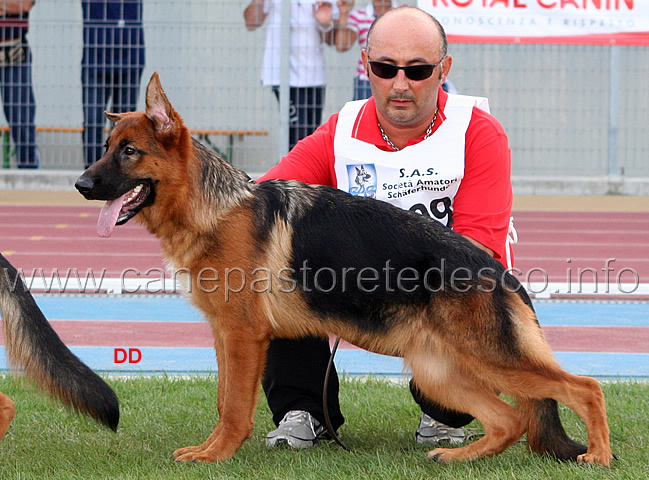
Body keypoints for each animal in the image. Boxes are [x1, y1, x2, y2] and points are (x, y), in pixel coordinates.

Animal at [76, 73, 612, 466]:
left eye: (129, 151)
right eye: (105, 146)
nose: (81, 185)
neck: (214, 208)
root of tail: (498, 272)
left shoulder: (244, 337)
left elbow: (233, 408)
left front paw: (215, 457)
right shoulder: (226, 336)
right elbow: (224, 400)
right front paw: (209, 450)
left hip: (491, 359)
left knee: (585, 388)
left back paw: (599, 458)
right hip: (441, 371)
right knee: (509, 421)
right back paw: (460, 458)